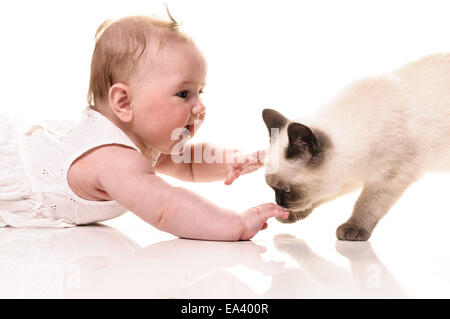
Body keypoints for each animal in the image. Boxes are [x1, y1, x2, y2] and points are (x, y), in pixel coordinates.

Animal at [262, 53, 450, 241]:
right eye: (272, 188)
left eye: (287, 189)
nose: (279, 203)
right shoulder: (349, 177)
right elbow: (321, 197)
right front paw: (289, 214)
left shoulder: (388, 176)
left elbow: (367, 204)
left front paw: (353, 228)